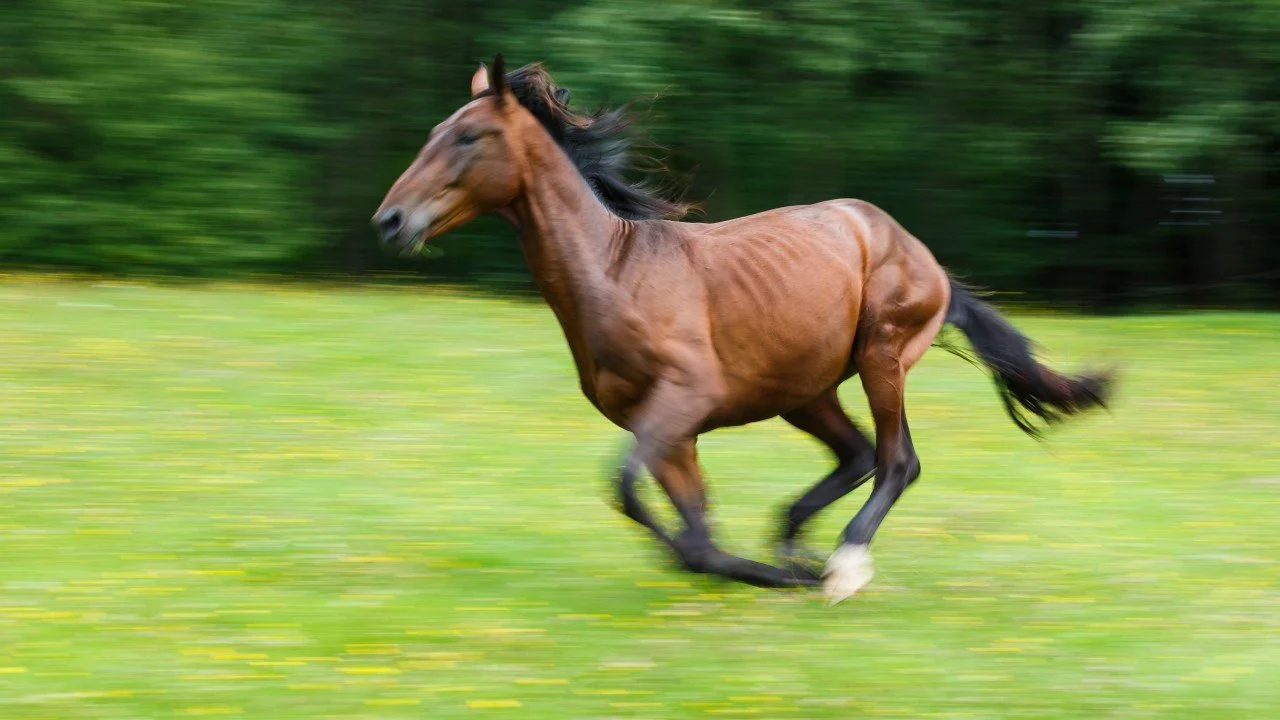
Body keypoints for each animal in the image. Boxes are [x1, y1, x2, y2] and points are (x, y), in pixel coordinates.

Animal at [372, 55, 1113, 604]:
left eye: (467, 138)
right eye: (434, 133)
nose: (390, 222)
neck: (613, 273)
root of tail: (918, 254)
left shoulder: (684, 399)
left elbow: (632, 493)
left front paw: (785, 574)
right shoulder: (668, 431)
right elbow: (684, 524)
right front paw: (765, 568)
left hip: (883, 356)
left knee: (897, 460)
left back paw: (842, 566)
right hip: (804, 392)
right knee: (858, 455)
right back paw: (798, 546)